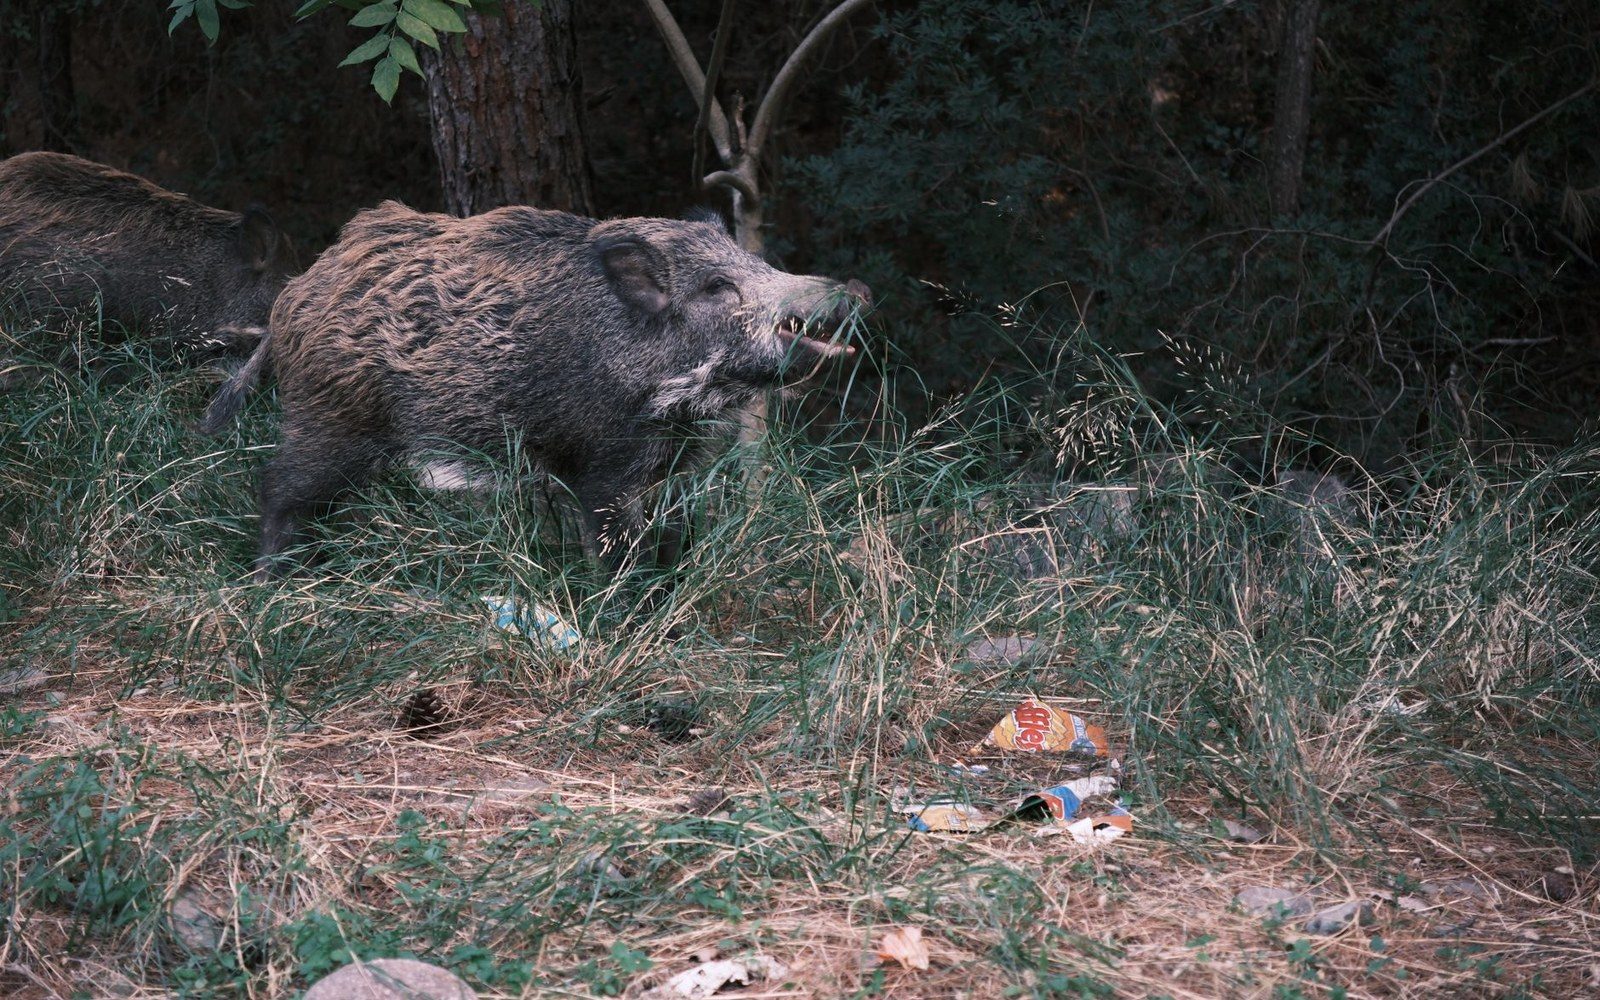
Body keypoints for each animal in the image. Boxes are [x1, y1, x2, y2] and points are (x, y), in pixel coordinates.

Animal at [201, 200, 868, 579]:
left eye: (760, 264)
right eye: (717, 287)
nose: (857, 288)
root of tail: (300, 287)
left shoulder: (677, 468)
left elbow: (674, 539)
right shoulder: (603, 463)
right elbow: (615, 546)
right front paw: (630, 612)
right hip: (332, 419)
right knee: (278, 487)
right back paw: (271, 583)